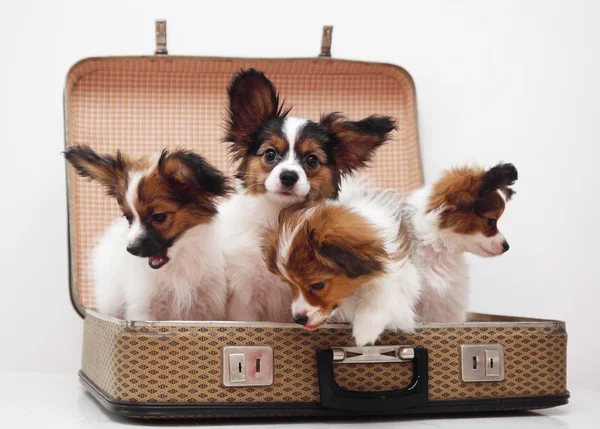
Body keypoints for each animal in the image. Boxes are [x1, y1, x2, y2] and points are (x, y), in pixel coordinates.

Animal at [63, 145, 232, 320]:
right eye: (128, 217)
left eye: (159, 217)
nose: (131, 249)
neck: (176, 267)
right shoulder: (143, 310)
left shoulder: (205, 308)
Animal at [262, 179, 422, 346]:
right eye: (289, 284)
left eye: (318, 285)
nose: (299, 320)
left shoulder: (403, 273)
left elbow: (382, 290)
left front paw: (366, 329)